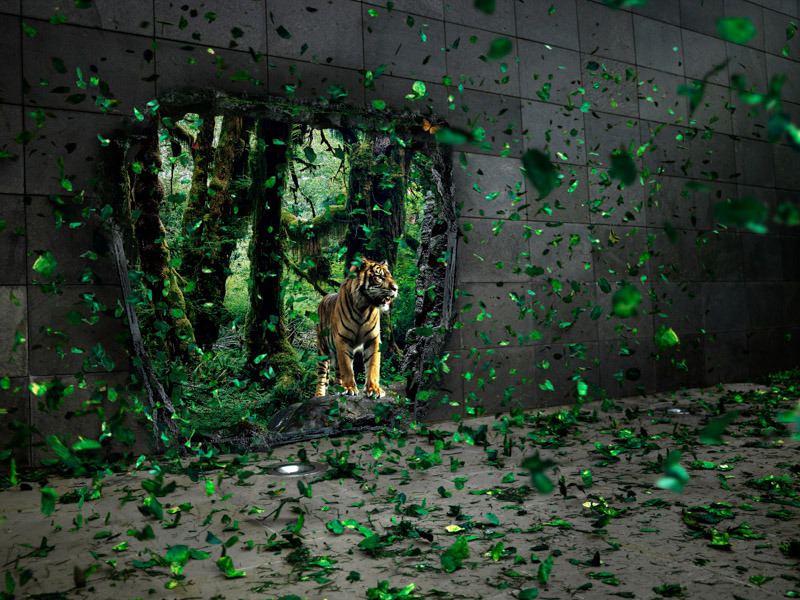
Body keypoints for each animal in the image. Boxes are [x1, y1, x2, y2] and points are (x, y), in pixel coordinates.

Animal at [315, 257, 398, 398]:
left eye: (390, 276)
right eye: (380, 277)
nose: (396, 288)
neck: (363, 307)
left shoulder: (373, 339)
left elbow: (373, 365)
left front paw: (374, 389)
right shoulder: (343, 339)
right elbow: (347, 367)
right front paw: (349, 388)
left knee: (337, 374)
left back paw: (338, 389)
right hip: (323, 350)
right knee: (322, 378)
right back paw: (320, 395)